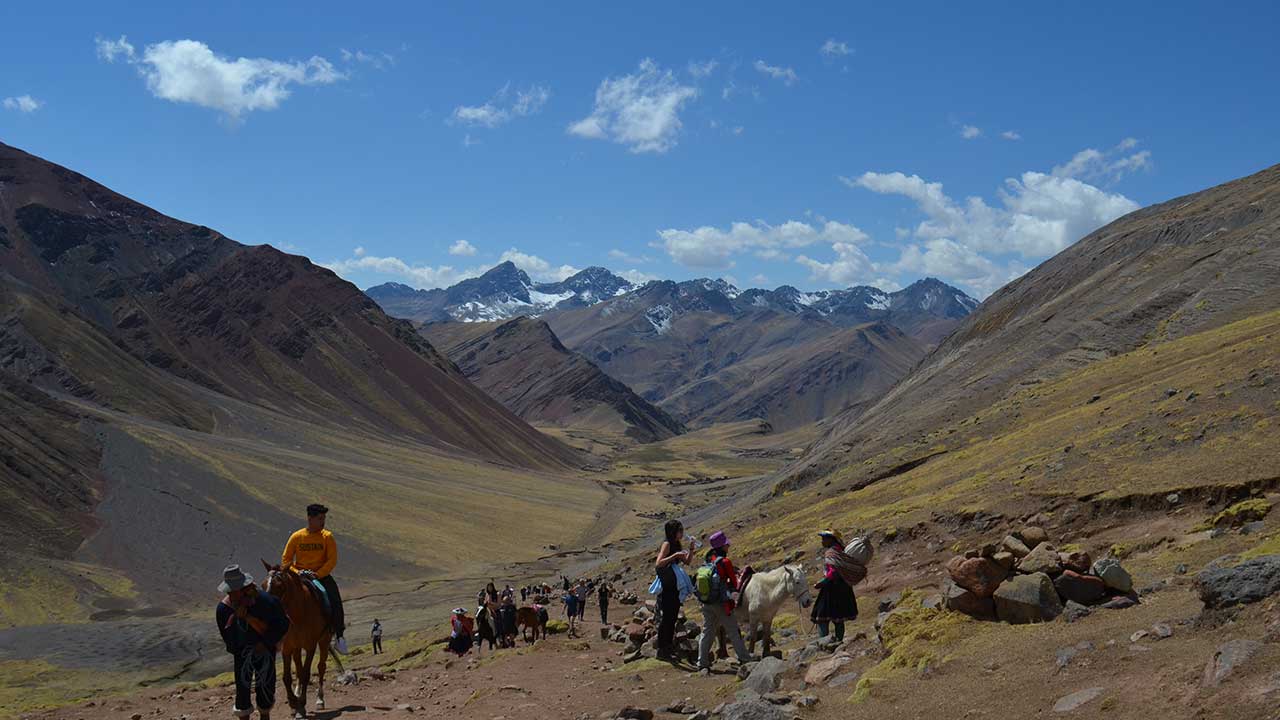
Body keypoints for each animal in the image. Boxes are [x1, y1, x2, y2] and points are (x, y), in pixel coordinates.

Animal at [263, 558, 332, 712]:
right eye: (263, 584)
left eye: (280, 586)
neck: (298, 614)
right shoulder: (287, 647)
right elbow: (287, 676)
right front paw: (293, 701)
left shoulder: (311, 646)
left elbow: (306, 673)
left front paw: (302, 701)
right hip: (296, 647)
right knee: (298, 667)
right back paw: (297, 693)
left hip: (324, 641)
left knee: (321, 667)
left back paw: (319, 699)